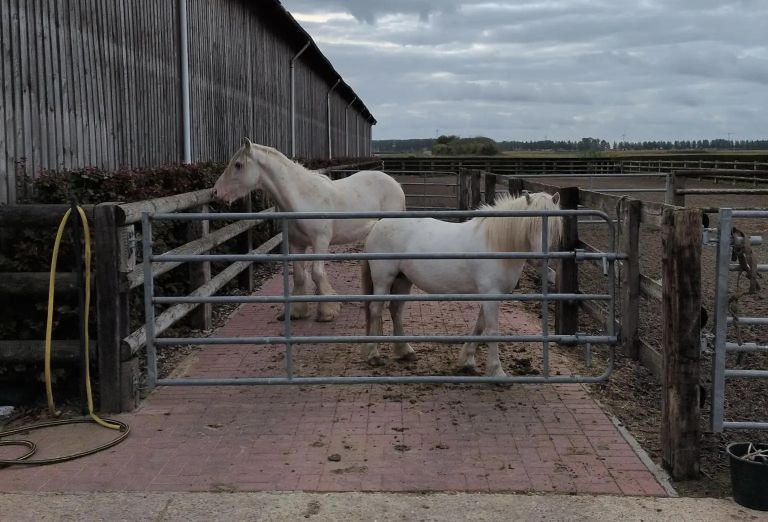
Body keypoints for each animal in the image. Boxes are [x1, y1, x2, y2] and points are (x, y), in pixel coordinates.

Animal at [213, 138, 406, 321]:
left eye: (238, 164)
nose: (216, 192)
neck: (303, 197)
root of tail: (395, 184)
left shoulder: (320, 241)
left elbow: (317, 274)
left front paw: (327, 312)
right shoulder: (296, 243)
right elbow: (299, 275)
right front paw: (297, 311)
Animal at [361, 191, 562, 376]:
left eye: (553, 225)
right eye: (531, 224)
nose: (540, 258)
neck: (495, 244)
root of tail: (377, 225)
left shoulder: (490, 296)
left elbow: (480, 326)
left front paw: (467, 360)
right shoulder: (491, 294)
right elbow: (492, 330)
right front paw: (496, 371)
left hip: (403, 280)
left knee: (395, 310)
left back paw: (405, 351)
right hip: (383, 280)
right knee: (376, 310)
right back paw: (373, 355)